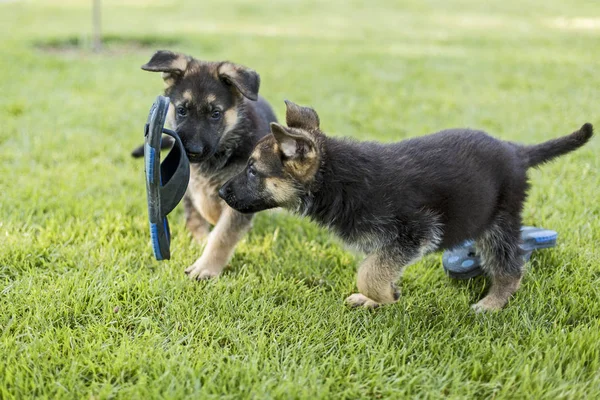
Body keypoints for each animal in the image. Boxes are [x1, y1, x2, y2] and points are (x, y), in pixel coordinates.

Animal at [134, 50, 276, 278]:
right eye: (182, 110)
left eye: (215, 114)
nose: (193, 151)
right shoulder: (192, 183)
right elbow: (198, 214)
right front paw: (203, 239)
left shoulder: (241, 189)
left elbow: (223, 234)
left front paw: (206, 268)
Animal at [218, 101, 592, 312]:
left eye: (253, 171)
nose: (220, 191)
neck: (337, 178)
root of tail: (517, 152)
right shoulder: (384, 244)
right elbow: (375, 266)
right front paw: (376, 298)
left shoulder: (416, 231)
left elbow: (368, 273)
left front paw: (383, 297)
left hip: (497, 222)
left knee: (511, 268)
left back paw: (492, 304)